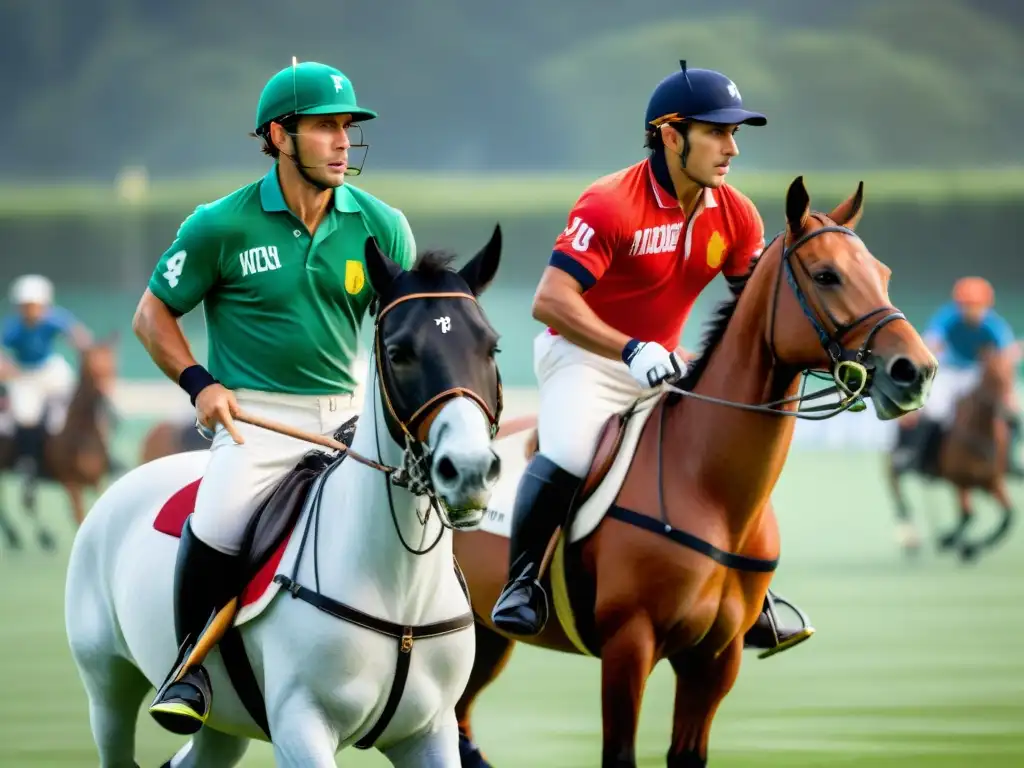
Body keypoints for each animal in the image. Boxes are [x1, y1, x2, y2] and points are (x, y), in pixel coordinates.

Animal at [0, 333, 118, 548]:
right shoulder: (70, 482)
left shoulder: (97, 480)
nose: (108, 400)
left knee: (27, 501)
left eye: (112, 364)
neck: (82, 433)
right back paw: (24, 535)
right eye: (92, 369)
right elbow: (79, 517)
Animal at [66, 230, 505, 768]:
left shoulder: (430, 733)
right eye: (399, 352)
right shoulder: (300, 725)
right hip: (106, 684)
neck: (400, 596)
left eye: (490, 347)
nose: (469, 469)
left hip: (222, 726)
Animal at [454, 177, 937, 765]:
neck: (710, 489)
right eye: (827, 275)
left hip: (484, 638)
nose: (916, 371)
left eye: (883, 274)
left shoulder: (716, 658)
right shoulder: (629, 645)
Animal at [888, 352, 1015, 561]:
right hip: (894, 461)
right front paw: (951, 541)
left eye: (1011, 377)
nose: (1012, 415)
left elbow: (1008, 516)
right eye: (993, 379)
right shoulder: (960, 480)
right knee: (897, 491)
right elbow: (967, 515)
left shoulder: (991, 481)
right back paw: (910, 539)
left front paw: (970, 547)